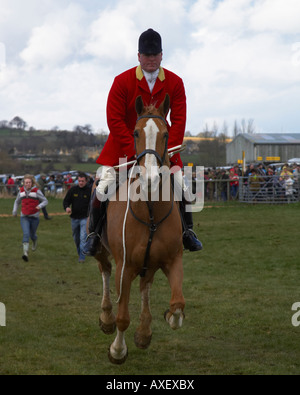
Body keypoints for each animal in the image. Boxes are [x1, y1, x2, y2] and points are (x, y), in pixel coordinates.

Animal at [94, 93, 184, 366]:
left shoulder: (172, 260)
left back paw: (144, 332)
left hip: (149, 264)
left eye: (166, 134)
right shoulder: (125, 267)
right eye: (135, 133)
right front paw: (117, 350)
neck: (150, 210)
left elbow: (178, 306)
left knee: (145, 286)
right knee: (105, 270)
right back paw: (106, 318)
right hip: (101, 252)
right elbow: (123, 316)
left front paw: (165, 317)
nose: (150, 178)